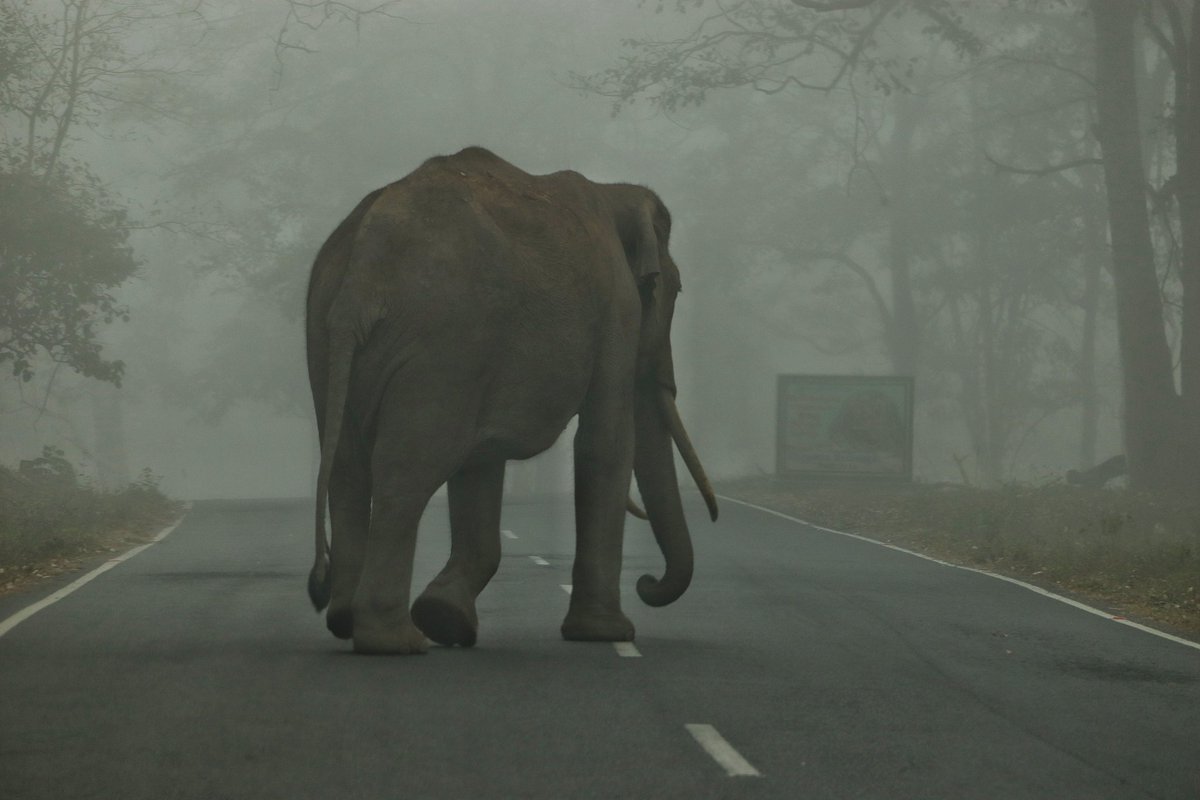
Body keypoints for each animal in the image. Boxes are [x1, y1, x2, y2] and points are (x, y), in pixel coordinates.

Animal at [309, 146, 715, 652]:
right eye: (673, 290)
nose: (648, 583)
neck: (612, 191)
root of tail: (366, 258)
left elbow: (481, 465)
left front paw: (447, 619)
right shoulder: (616, 309)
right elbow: (605, 442)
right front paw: (607, 634)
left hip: (330, 338)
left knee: (348, 467)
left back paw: (346, 620)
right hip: (443, 340)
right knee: (407, 468)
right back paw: (395, 642)